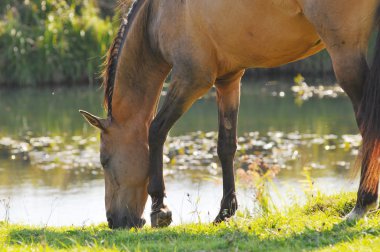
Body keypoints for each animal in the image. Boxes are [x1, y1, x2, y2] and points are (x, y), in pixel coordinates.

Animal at [79, 0, 380, 228]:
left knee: (368, 126)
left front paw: (159, 208)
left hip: (345, 56)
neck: (157, 14)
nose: (114, 221)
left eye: (104, 161)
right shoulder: (228, 80)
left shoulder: (192, 80)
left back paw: (362, 203)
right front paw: (225, 211)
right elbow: (226, 146)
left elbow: (156, 131)